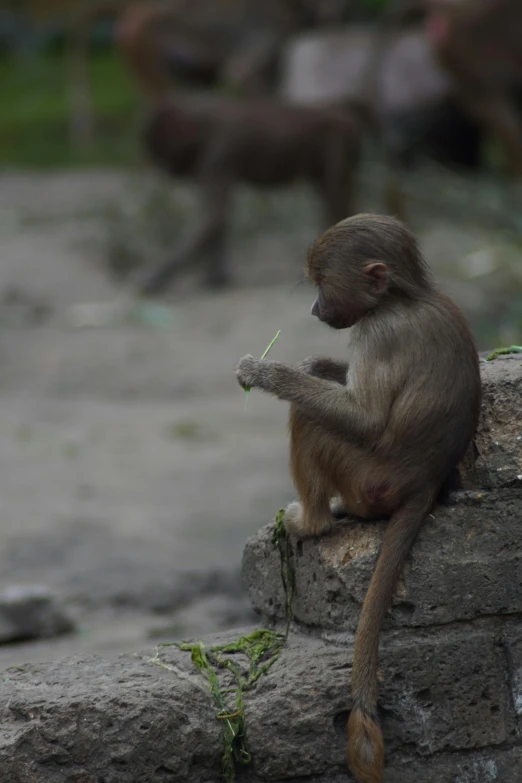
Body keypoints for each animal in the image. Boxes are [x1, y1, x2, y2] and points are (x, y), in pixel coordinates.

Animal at [134, 95, 362, 296]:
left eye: (165, 151)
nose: (171, 170)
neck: (203, 122)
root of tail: (344, 116)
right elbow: (217, 221)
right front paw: (216, 277)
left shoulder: (217, 155)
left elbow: (212, 219)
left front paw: (154, 279)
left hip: (336, 143)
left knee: (334, 197)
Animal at [235, 214, 480, 783]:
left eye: (322, 283)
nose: (312, 309)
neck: (401, 297)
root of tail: (424, 483)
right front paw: (312, 365)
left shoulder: (378, 331)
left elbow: (364, 418)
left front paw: (270, 375)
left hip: (369, 479)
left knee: (311, 422)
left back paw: (311, 522)